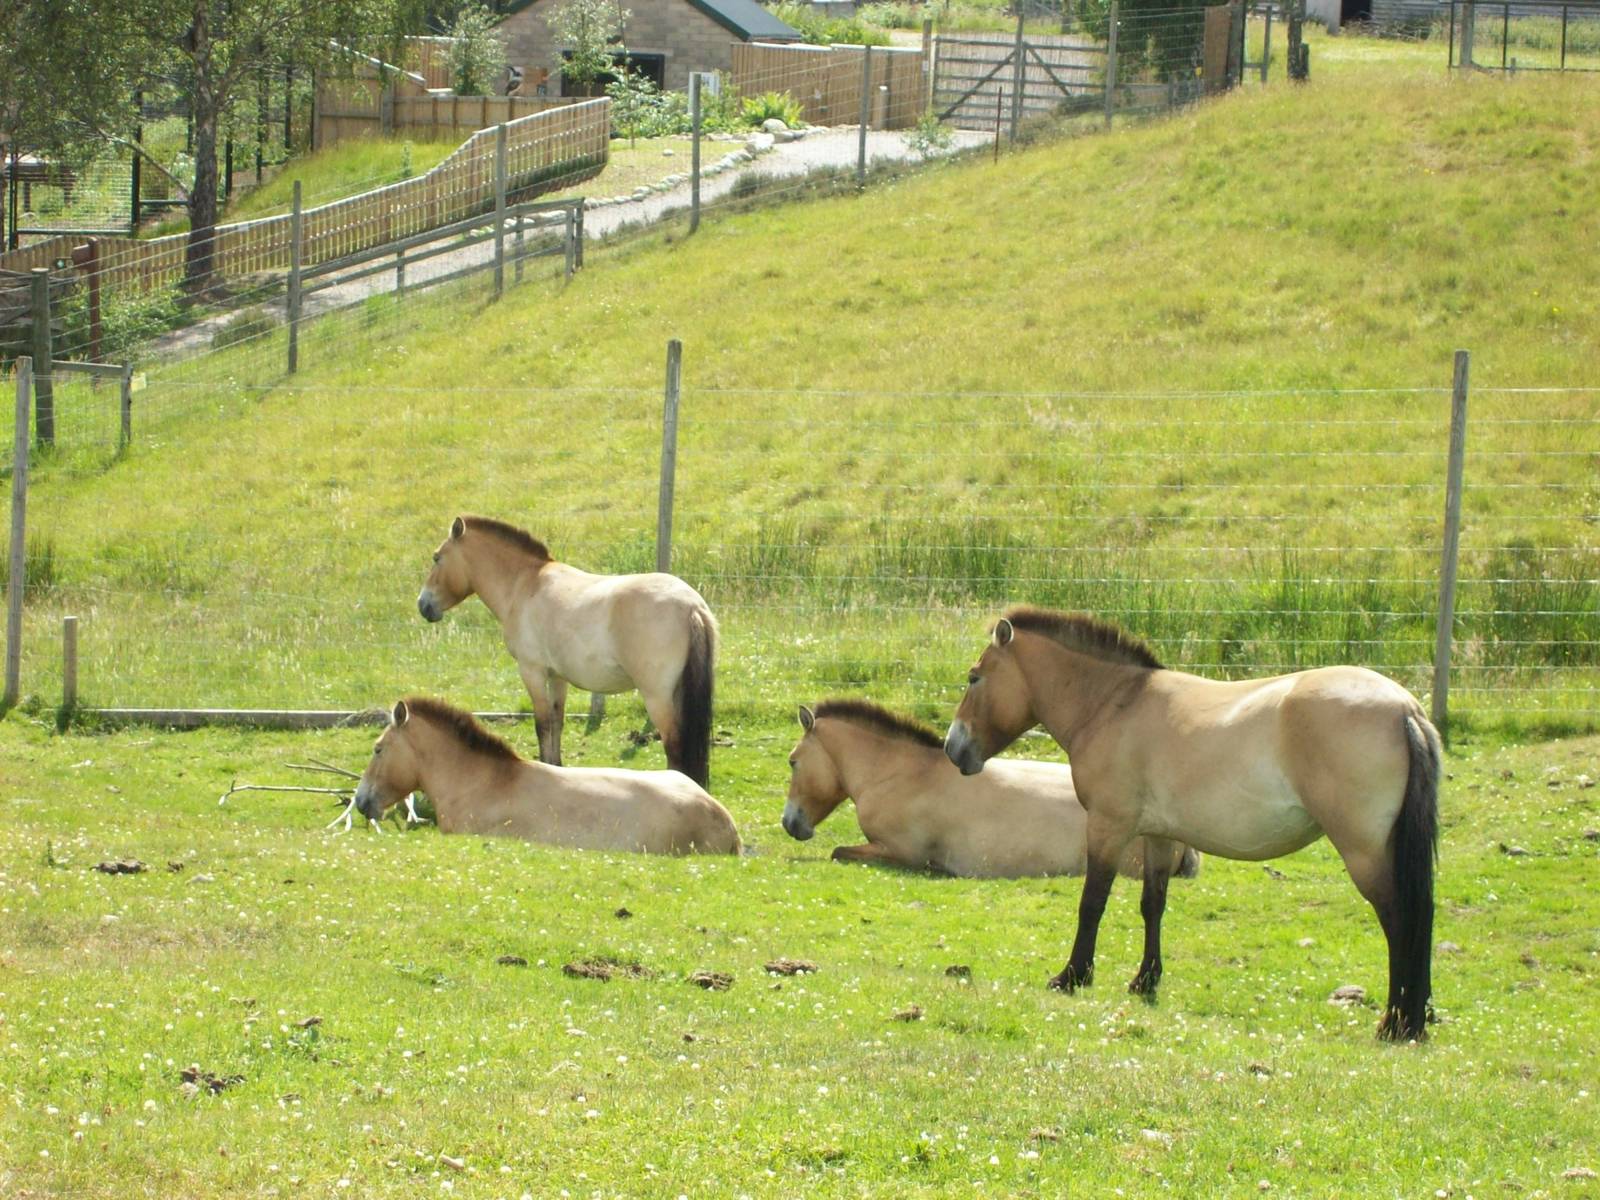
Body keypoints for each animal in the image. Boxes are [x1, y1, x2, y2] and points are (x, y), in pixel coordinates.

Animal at [416, 516, 717, 786]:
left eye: (436, 558)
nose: (423, 605)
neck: (525, 585)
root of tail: (691, 606)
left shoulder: (532, 671)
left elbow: (542, 724)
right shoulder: (557, 677)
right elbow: (556, 723)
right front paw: (556, 768)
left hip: (657, 697)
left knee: (674, 745)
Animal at [943, 606, 1440, 1042]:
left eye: (974, 677)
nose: (952, 748)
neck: (1114, 704)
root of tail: (1404, 709)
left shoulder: (1108, 827)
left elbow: (1092, 904)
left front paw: (1072, 976)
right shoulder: (1159, 836)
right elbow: (1152, 905)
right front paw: (1144, 981)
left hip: (1363, 851)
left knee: (1400, 918)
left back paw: (1396, 1023)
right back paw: (1417, 1018)